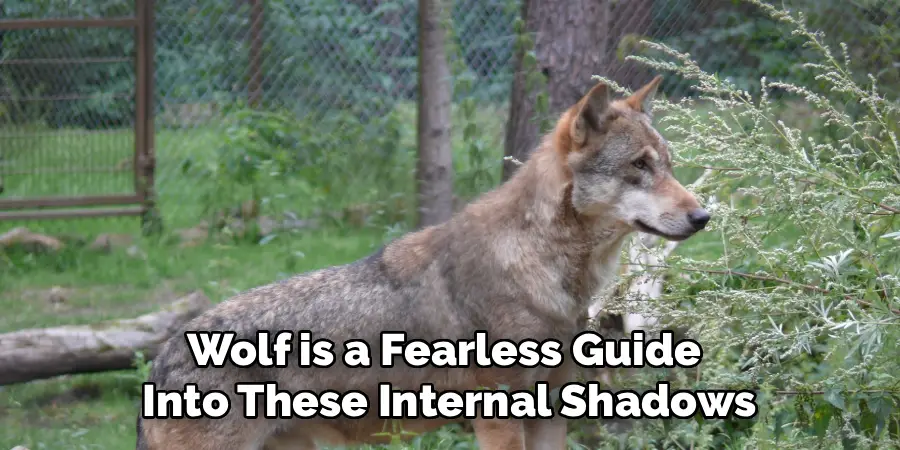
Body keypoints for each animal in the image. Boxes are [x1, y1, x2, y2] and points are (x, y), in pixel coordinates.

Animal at [136, 75, 710, 450]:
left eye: (668, 165)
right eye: (639, 166)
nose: (704, 216)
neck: (544, 270)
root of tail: (161, 358)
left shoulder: (550, 410)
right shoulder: (500, 416)